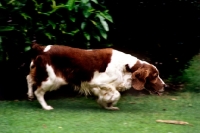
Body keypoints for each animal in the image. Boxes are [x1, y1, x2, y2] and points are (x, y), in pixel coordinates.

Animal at [27, 43, 166, 110]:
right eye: (155, 75)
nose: (165, 85)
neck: (126, 66)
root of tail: (41, 48)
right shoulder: (97, 82)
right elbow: (116, 94)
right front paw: (106, 102)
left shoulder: (100, 86)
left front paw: (107, 105)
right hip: (52, 79)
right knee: (38, 91)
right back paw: (46, 107)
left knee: (29, 78)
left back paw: (29, 95)